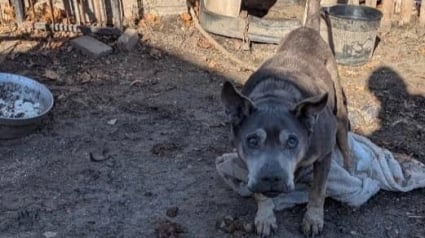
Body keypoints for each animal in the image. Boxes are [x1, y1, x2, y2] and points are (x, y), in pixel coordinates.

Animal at [220, 0, 350, 236]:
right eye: (252, 140)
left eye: (292, 141)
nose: (272, 177)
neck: (276, 97)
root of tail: (307, 29)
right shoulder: (247, 162)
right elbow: (259, 193)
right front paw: (265, 216)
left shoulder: (325, 154)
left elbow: (318, 190)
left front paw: (313, 219)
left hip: (340, 109)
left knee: (345, 141)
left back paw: (349, 167)